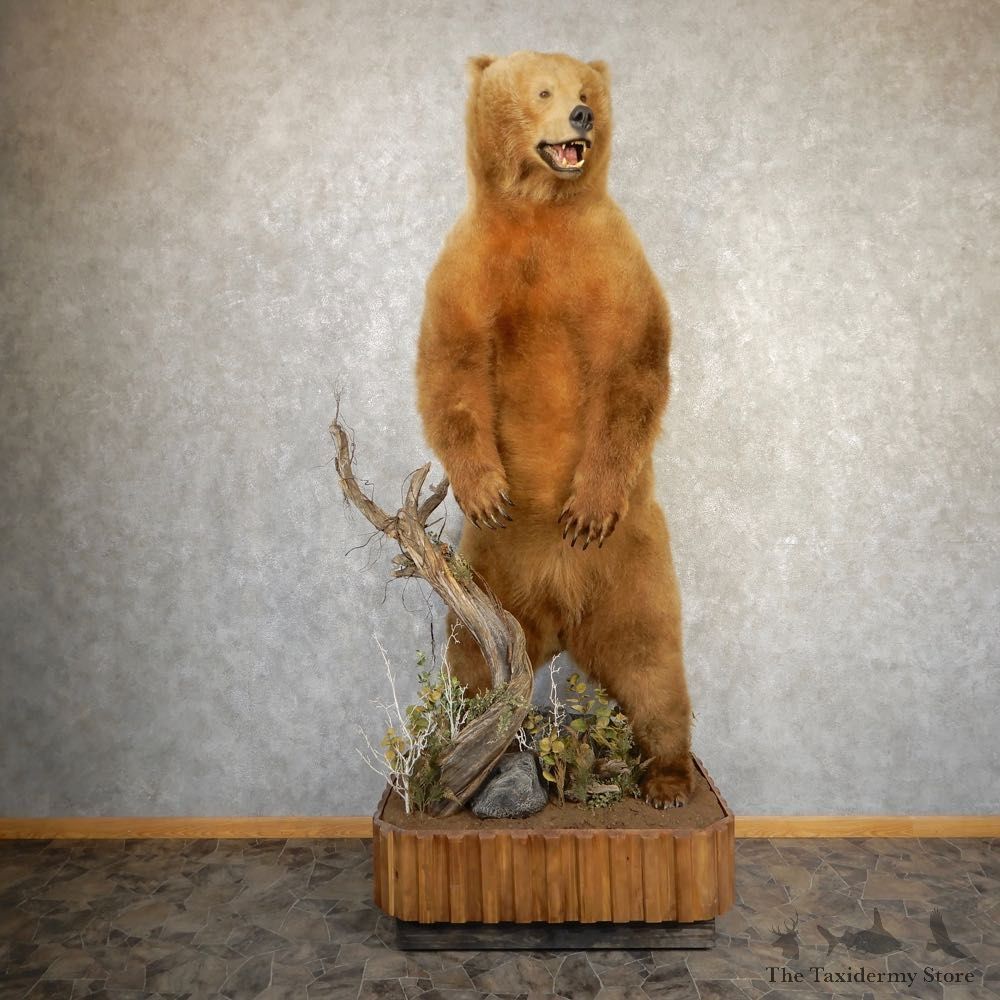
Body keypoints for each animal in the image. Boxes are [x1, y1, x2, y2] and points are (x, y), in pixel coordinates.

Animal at [415, 50, 694, 807]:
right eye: (543, 90)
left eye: (585, 87)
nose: (582, 116)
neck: (542, 209)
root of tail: (562, 619)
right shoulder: (469, 264)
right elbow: (451, 366)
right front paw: (485, 489)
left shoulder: (611, 259)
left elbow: (633, 365)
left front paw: (586, 505)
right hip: (488, 582)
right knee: (473, 663)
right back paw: (462, 756)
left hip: (636, 570)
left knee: (654, 667)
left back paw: (667, 777)